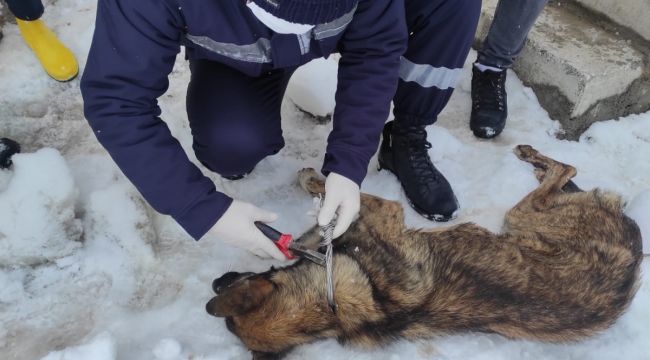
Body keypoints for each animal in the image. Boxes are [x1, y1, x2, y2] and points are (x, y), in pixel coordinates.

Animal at [205, 145, 640, 358]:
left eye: (248, 278)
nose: (215, 282)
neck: (331, 306)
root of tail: (634, 258)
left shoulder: (385, 214)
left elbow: (328, 207)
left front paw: (315, 186)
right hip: (525, 218)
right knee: (565, 173)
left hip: (524, 217)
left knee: (566, 170)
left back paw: (533, 158)